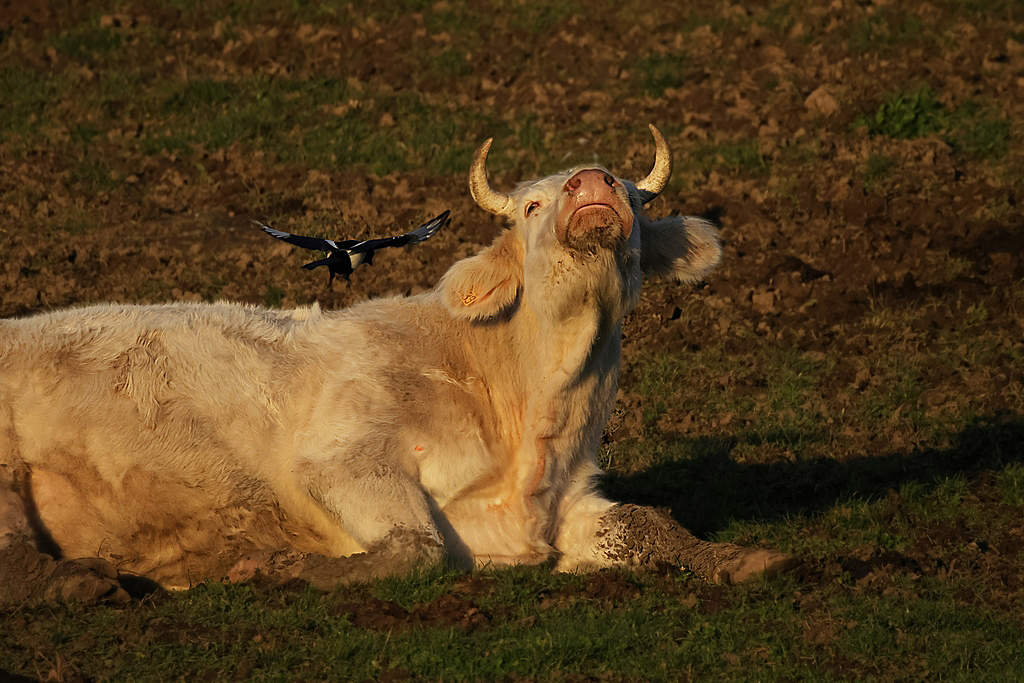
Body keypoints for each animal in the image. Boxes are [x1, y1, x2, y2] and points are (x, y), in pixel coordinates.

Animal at [0, 125, 794, 606]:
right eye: (531, 204)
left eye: (628, 191)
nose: (593, 184)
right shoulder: (342, 459)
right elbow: (419, 546)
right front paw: (282, 567)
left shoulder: (565, 502)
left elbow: (651, 522)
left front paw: (750, 560)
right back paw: (88, 582)